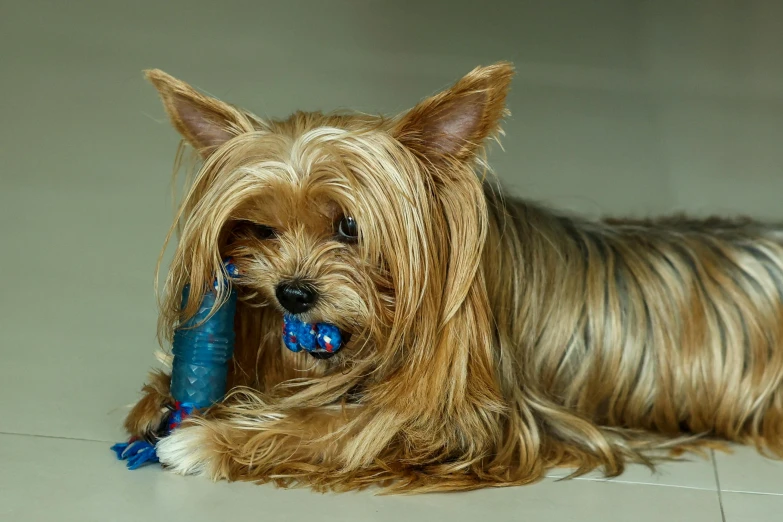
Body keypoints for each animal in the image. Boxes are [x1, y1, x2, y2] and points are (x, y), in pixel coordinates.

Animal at [125, 62, 783, 492]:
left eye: (349, 227)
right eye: (260, 229)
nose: (293, 294)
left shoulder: (468, 425)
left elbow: (342, 428)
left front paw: (207, 439)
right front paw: (160, 403)